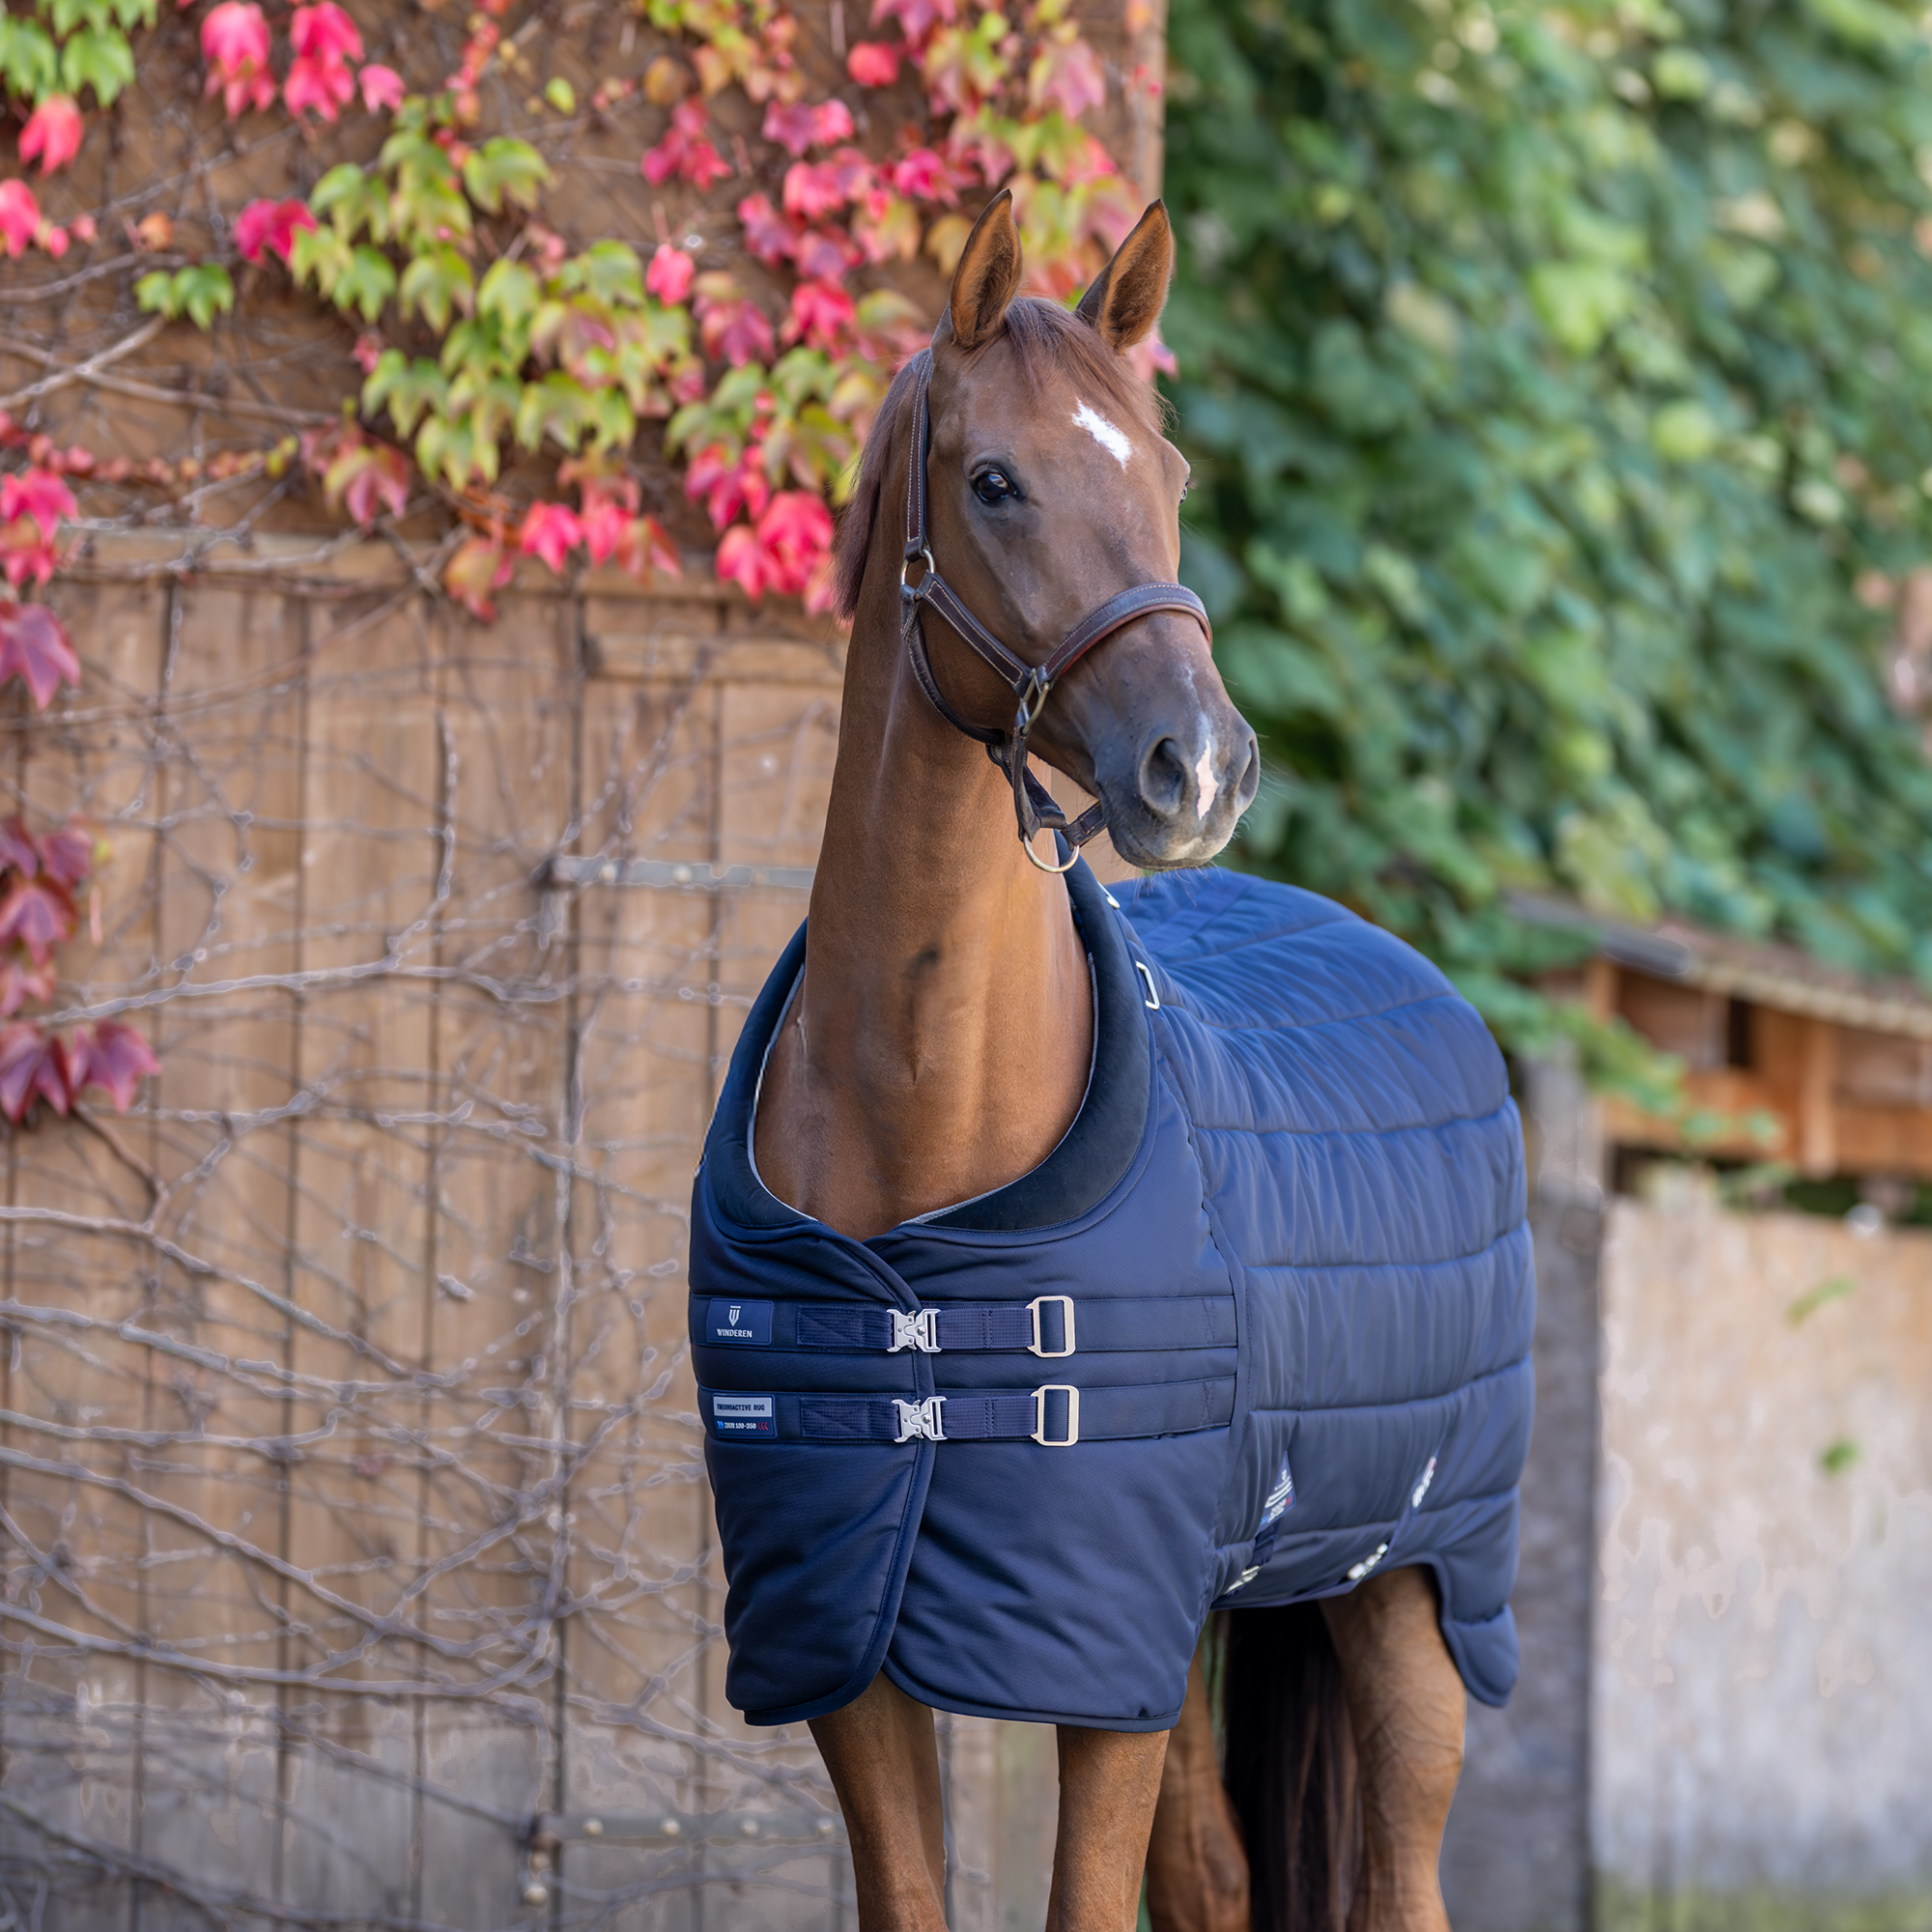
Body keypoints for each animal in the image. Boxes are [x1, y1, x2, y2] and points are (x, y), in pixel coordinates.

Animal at [686, 191, 1530, 1930]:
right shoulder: (855, 1637)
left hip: (1413, 1587)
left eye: (1171, 474)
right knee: (1216, 1875)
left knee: (1402, 1865)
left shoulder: (1108, 1659)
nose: (1200, 766)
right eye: (995, 482)